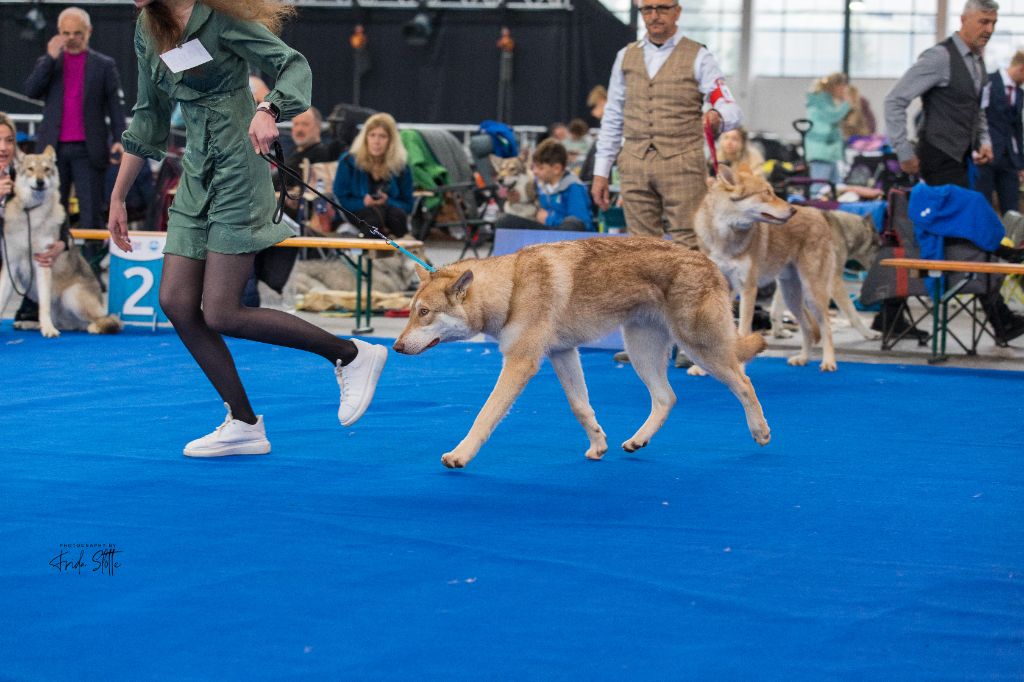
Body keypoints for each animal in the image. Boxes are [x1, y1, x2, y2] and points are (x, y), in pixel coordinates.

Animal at [0, 148, 120, 339]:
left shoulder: (42, 264)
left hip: (70, 296)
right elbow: (2, 302)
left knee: (110, 320)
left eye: (46, 169)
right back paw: (29, 324)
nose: (40, 182)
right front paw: (45, 328)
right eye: (31, 169)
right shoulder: (11, 266)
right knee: (65, 323)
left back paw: (93, 327)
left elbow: (44, 307)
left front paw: (49, 331)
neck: (31, 215)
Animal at [391, 235, 770, 466]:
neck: (512, 287)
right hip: (641, 352)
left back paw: (761, 432)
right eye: (410, 311)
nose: (395, 346)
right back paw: (637, 441)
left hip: (701, 350)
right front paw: (599, 445)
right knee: (667, 398)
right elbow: (581, 407)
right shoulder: (563, 354)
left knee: (745, 382)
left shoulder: (520, 362)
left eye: (424, 312)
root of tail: (710, 263)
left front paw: (460, 455)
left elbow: (484, 415)